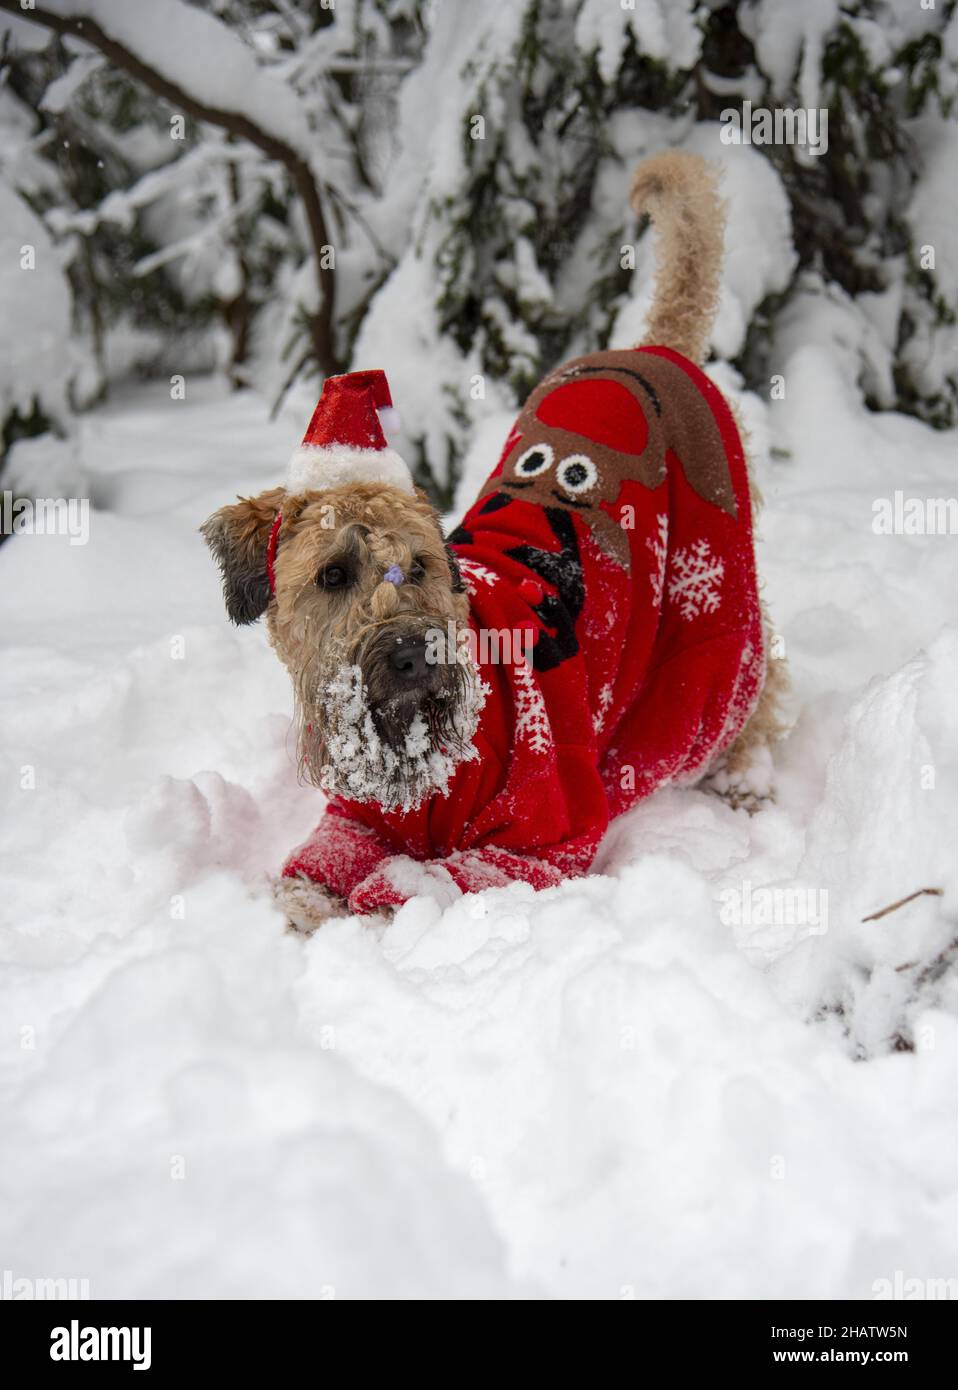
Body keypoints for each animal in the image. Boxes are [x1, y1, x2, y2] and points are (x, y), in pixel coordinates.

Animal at [201, 152, 784, 928]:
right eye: (333, 575)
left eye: (417, 564)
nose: (412, 655)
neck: (422, 763)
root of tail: (654, 350)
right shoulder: (354, 819)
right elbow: (314, 873)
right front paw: (302, 904)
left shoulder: (536, 842)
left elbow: (420, 885)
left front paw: (376, 903)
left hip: (712, 619)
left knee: (752, 687)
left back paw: (746, 777)